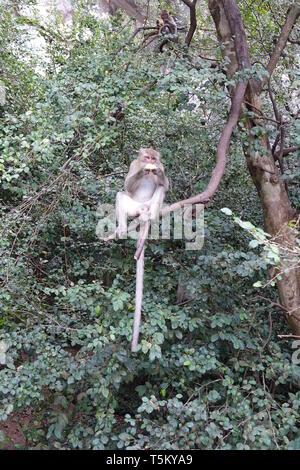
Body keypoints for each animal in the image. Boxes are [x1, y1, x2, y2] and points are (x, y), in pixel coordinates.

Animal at [115, 149, 169, 350]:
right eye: (146, 157)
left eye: (154, 158)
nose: (150, 162)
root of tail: (142, 210)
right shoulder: (133, 164)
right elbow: (127, 184)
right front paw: (142, 172)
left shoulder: (162, 166)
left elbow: (165, 185)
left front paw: (157, 173)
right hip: (134, 208)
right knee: (121, 195)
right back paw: (123, 228)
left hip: (149, 205)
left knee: (159, 189)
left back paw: (151, 216)